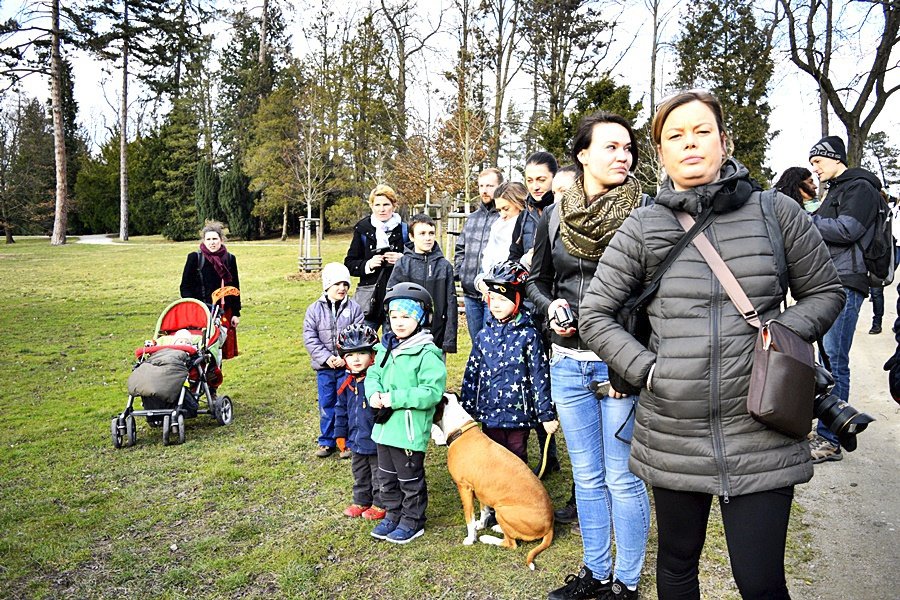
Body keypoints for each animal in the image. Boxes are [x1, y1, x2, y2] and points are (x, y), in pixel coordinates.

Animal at [432, 392, 552, 568]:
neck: (460, 430)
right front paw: (482, 525)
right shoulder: (481, 490)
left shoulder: (464, 488)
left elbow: (469, 518)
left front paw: (471, 538)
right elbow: (484, 511)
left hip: (503, 510)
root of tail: (550, 524)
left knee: (511, 543)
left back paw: (488, 538)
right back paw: (498, 528)